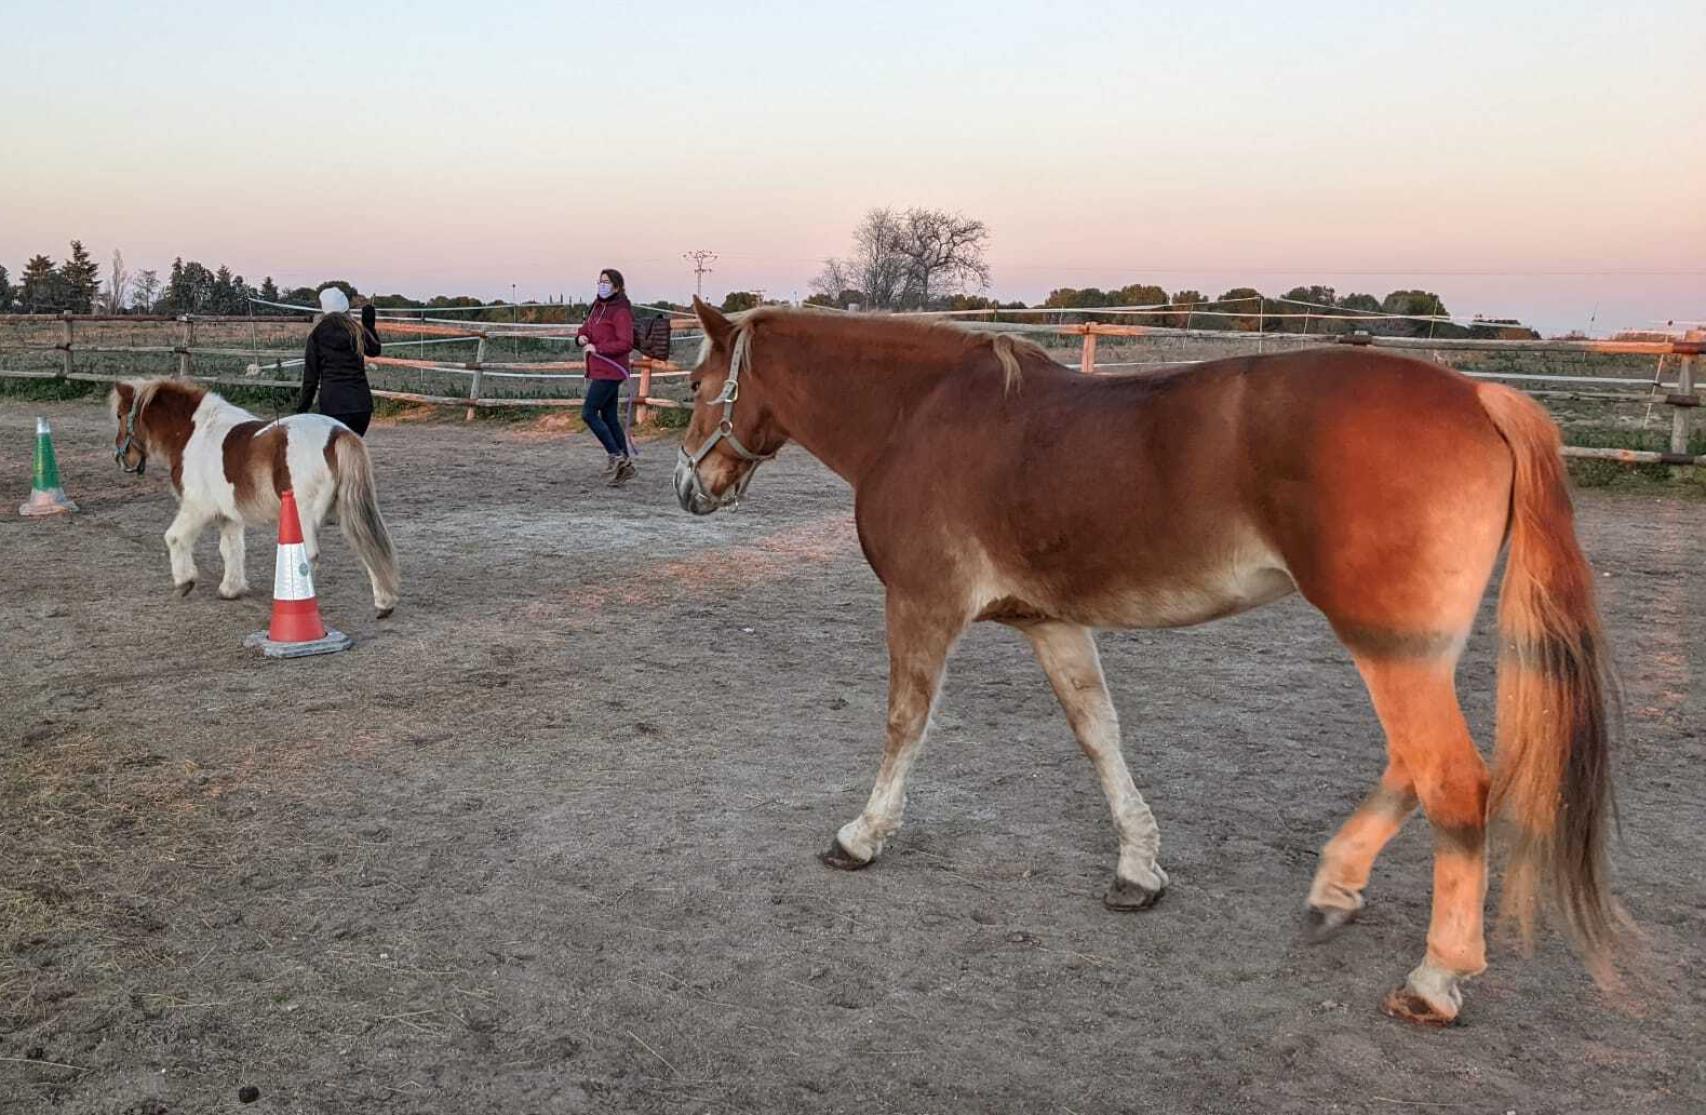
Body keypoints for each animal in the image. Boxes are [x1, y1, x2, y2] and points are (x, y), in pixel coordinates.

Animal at [110, 378, 400, 617]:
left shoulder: (196, 507)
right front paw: (230, 589)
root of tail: (337, 433)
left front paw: (184, 582)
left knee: (310, 555)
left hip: (304, 516)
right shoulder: (228, 516)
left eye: (120, 415)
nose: (122, 459)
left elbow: (174, 537)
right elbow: (231, 549)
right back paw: (384, 604)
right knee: (366, 546)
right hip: (347, 509)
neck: (194, 433)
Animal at [672, 298, 1623, 1026]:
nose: (688, 486)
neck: (919, 414)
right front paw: (1138, 867)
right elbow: (1100, 733)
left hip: (1390, 644)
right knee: (1412, 766)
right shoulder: (1050, 622)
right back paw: (1334, 888)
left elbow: (906, 723)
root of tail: (1480, 396)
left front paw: (861, 837)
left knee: (1453, 779)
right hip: (1409, 649)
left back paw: (1435, 976)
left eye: (693, 384)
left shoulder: (922, 605)